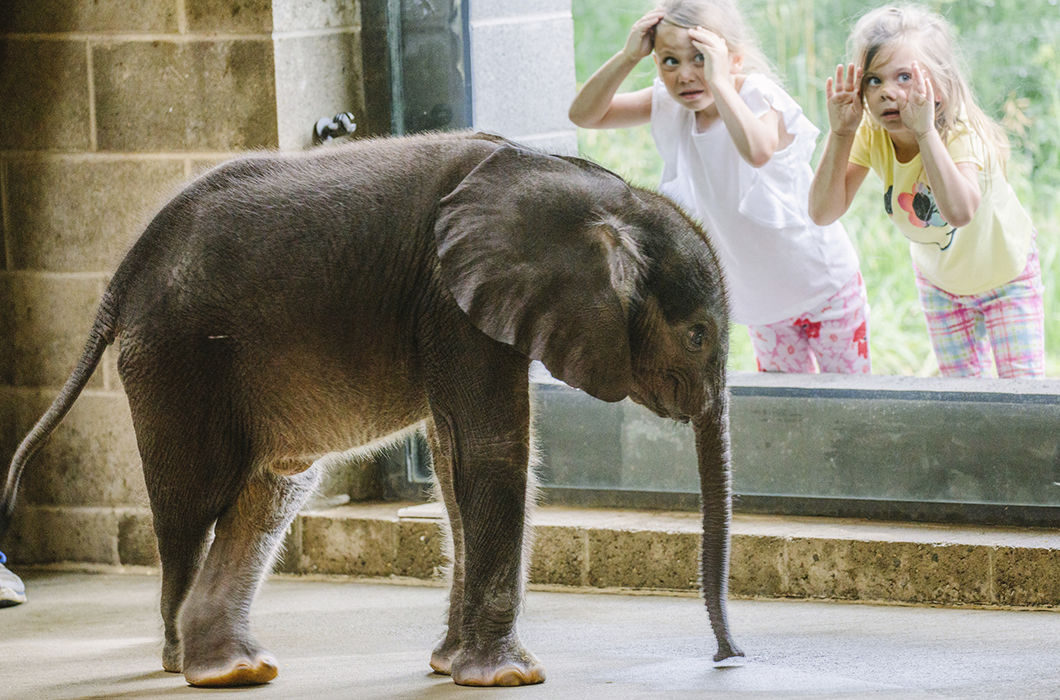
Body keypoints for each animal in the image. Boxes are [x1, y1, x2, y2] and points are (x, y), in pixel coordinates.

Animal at [0, 132, 741, 687]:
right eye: (698, 334)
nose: (728, 657)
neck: (597, 188)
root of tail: (121, 276)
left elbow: (453, 460)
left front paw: (450, 666)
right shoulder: (450, 301)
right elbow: (490, 449)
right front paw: (507, 678)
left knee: (271, 492)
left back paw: (235, 670)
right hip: (178, 357)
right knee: (196, 502)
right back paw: (185, 662)